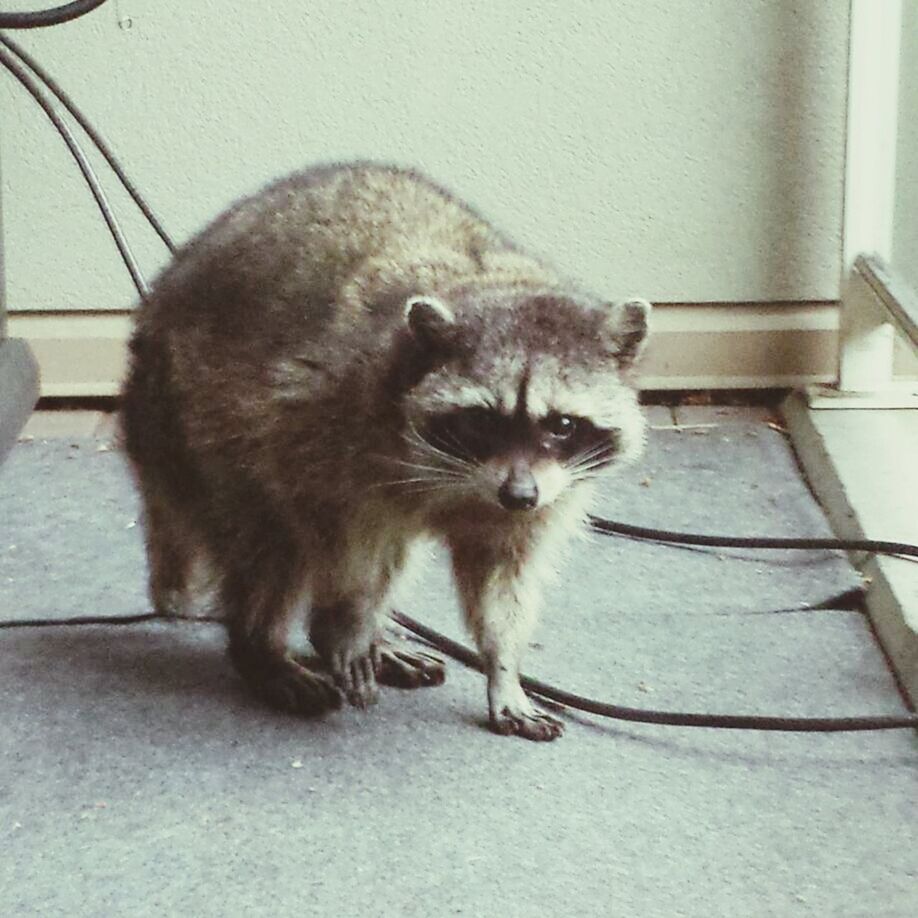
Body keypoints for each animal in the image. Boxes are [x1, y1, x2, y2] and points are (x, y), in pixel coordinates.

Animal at [122, 162, 652, 744]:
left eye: (562, 425)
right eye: (482, 421)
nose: (518, 495)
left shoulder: (549, 491)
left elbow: (502, 575)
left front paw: (503, 667)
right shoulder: (328, 416)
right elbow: (330, 527)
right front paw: (344, 624)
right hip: (194, 419)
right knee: (276, 539)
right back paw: (268, 646)